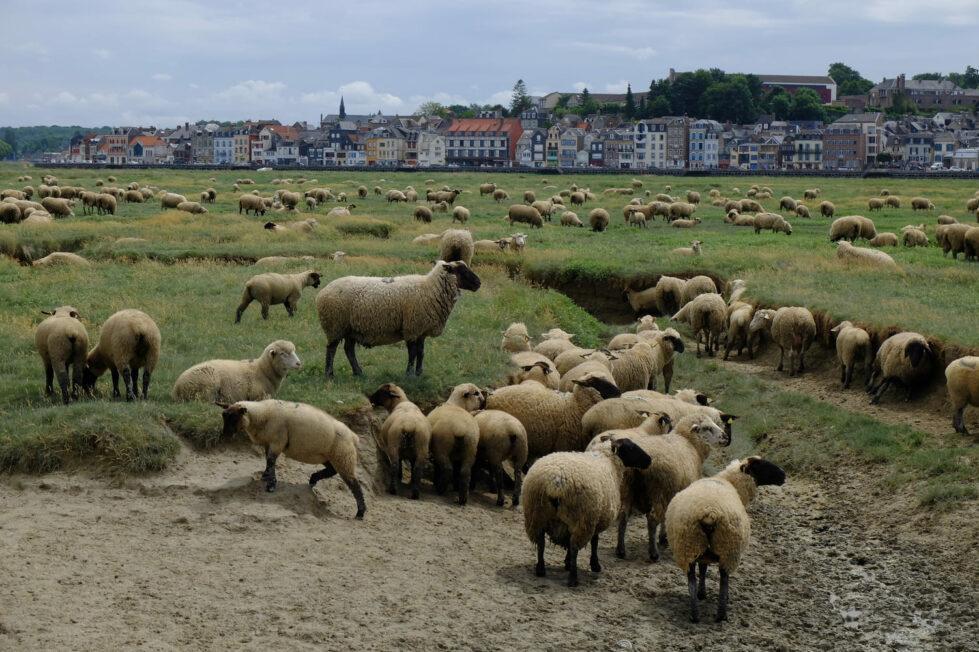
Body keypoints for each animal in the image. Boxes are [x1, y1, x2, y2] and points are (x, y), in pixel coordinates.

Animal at [172, 340, 301, 403]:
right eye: (283, 354)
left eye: (294, 351)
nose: (299, 363)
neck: (262, 370)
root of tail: (176, 389)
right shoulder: (258, 395)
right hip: (207, 383)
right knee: (204, 401)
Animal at [218, 400, 366, 519]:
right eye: (224, 416)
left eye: (234, 417)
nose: (225, 435)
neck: (262, 414)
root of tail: (354, 436)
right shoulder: (269, 443)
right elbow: (267, 460)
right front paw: (266, 476)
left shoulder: (277, 442)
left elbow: (271, 461)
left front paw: (271, 486)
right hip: (329, 456)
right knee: (332, 471)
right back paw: (313, 479)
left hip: (344, 457)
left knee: (354, 484)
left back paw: (360, 512)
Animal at [317, 261, 480, 377]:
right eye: (462, 270)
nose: (479, 283)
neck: (430, 288)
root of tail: (322, 292)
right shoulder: (412, 327)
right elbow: (412, 353)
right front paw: (409, 374)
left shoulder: (421, 330)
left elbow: (421, 352)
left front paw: (419, 373)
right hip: (335, 325)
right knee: (331, 349)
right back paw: (329, 374)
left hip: (351, 328)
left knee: (349, 350)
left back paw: (359, 373)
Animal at [522, 438, 651, 586]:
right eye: (631, 448)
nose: (649, 460)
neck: (608, 460)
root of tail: (555, 484)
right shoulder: (596, 518)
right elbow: (595, 542)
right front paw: (595, 565)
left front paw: (567, 563)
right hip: (581, 518)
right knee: (574, 546)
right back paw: (573, 578)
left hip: (536, 516)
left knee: (541, 542)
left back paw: (540, 569)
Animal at [665, 457, 786, 623]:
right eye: (764, 466)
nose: (784, 475)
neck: (731, 482)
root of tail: (709, 513)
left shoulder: (703, 553)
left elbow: (703, 569)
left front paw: (702, 594)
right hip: (728, 549)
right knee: (724, 580)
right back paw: (722, 613)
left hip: (688, 546)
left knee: (691, 581)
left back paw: (695, 614)